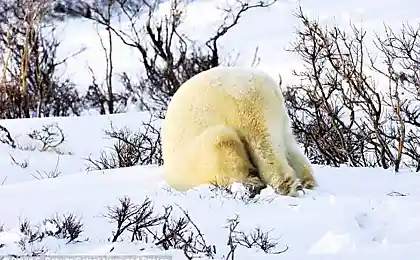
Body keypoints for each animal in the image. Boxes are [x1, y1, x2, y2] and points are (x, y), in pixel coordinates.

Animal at [162, 66, 316, 196]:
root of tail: (271, 87)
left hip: (245, 110)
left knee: (242, 141)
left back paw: (277, 185)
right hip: (277, 118)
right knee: (287, 146)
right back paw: (306, 180)